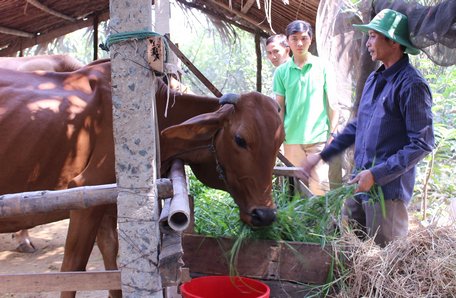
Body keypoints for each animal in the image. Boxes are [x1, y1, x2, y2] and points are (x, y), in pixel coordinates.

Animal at [0, 60, 284, 298]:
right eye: (240, 139)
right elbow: (72, 270)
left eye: (279, 141)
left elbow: (113, 264)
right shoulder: (84, 193)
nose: (265, 215)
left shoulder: (107, 203)